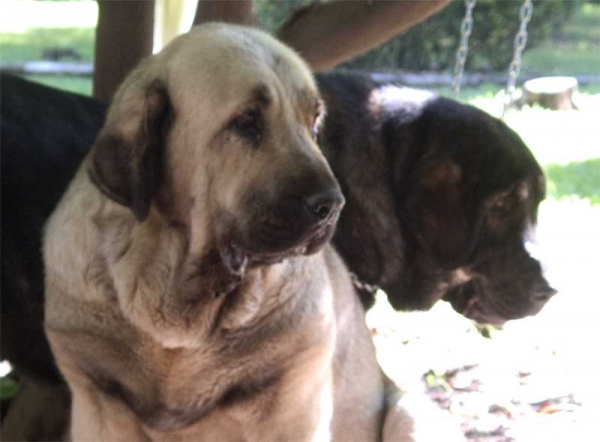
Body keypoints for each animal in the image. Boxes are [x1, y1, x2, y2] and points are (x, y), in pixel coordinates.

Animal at [43, 24, 464, 442]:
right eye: (246, 122)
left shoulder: (293, 408)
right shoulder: (99, 402)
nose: (333, 204)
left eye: (314, 123)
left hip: (410, 414)